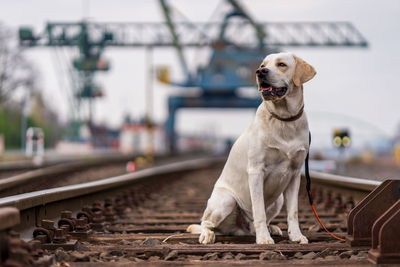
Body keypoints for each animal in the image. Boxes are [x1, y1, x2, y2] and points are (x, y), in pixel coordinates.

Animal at [188, 51, 316, 245]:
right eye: (263, 65)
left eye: (281, 64)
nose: (260, 72)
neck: (284, 119)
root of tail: (240, 228)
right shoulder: (256, 171)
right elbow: (259, 210)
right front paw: (263, 238)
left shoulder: (295, 174)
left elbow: (293, 212)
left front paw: (296, 235)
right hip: (226, 201)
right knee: (206, 222)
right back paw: (208, 234)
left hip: (278, 200)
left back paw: (271, 228)